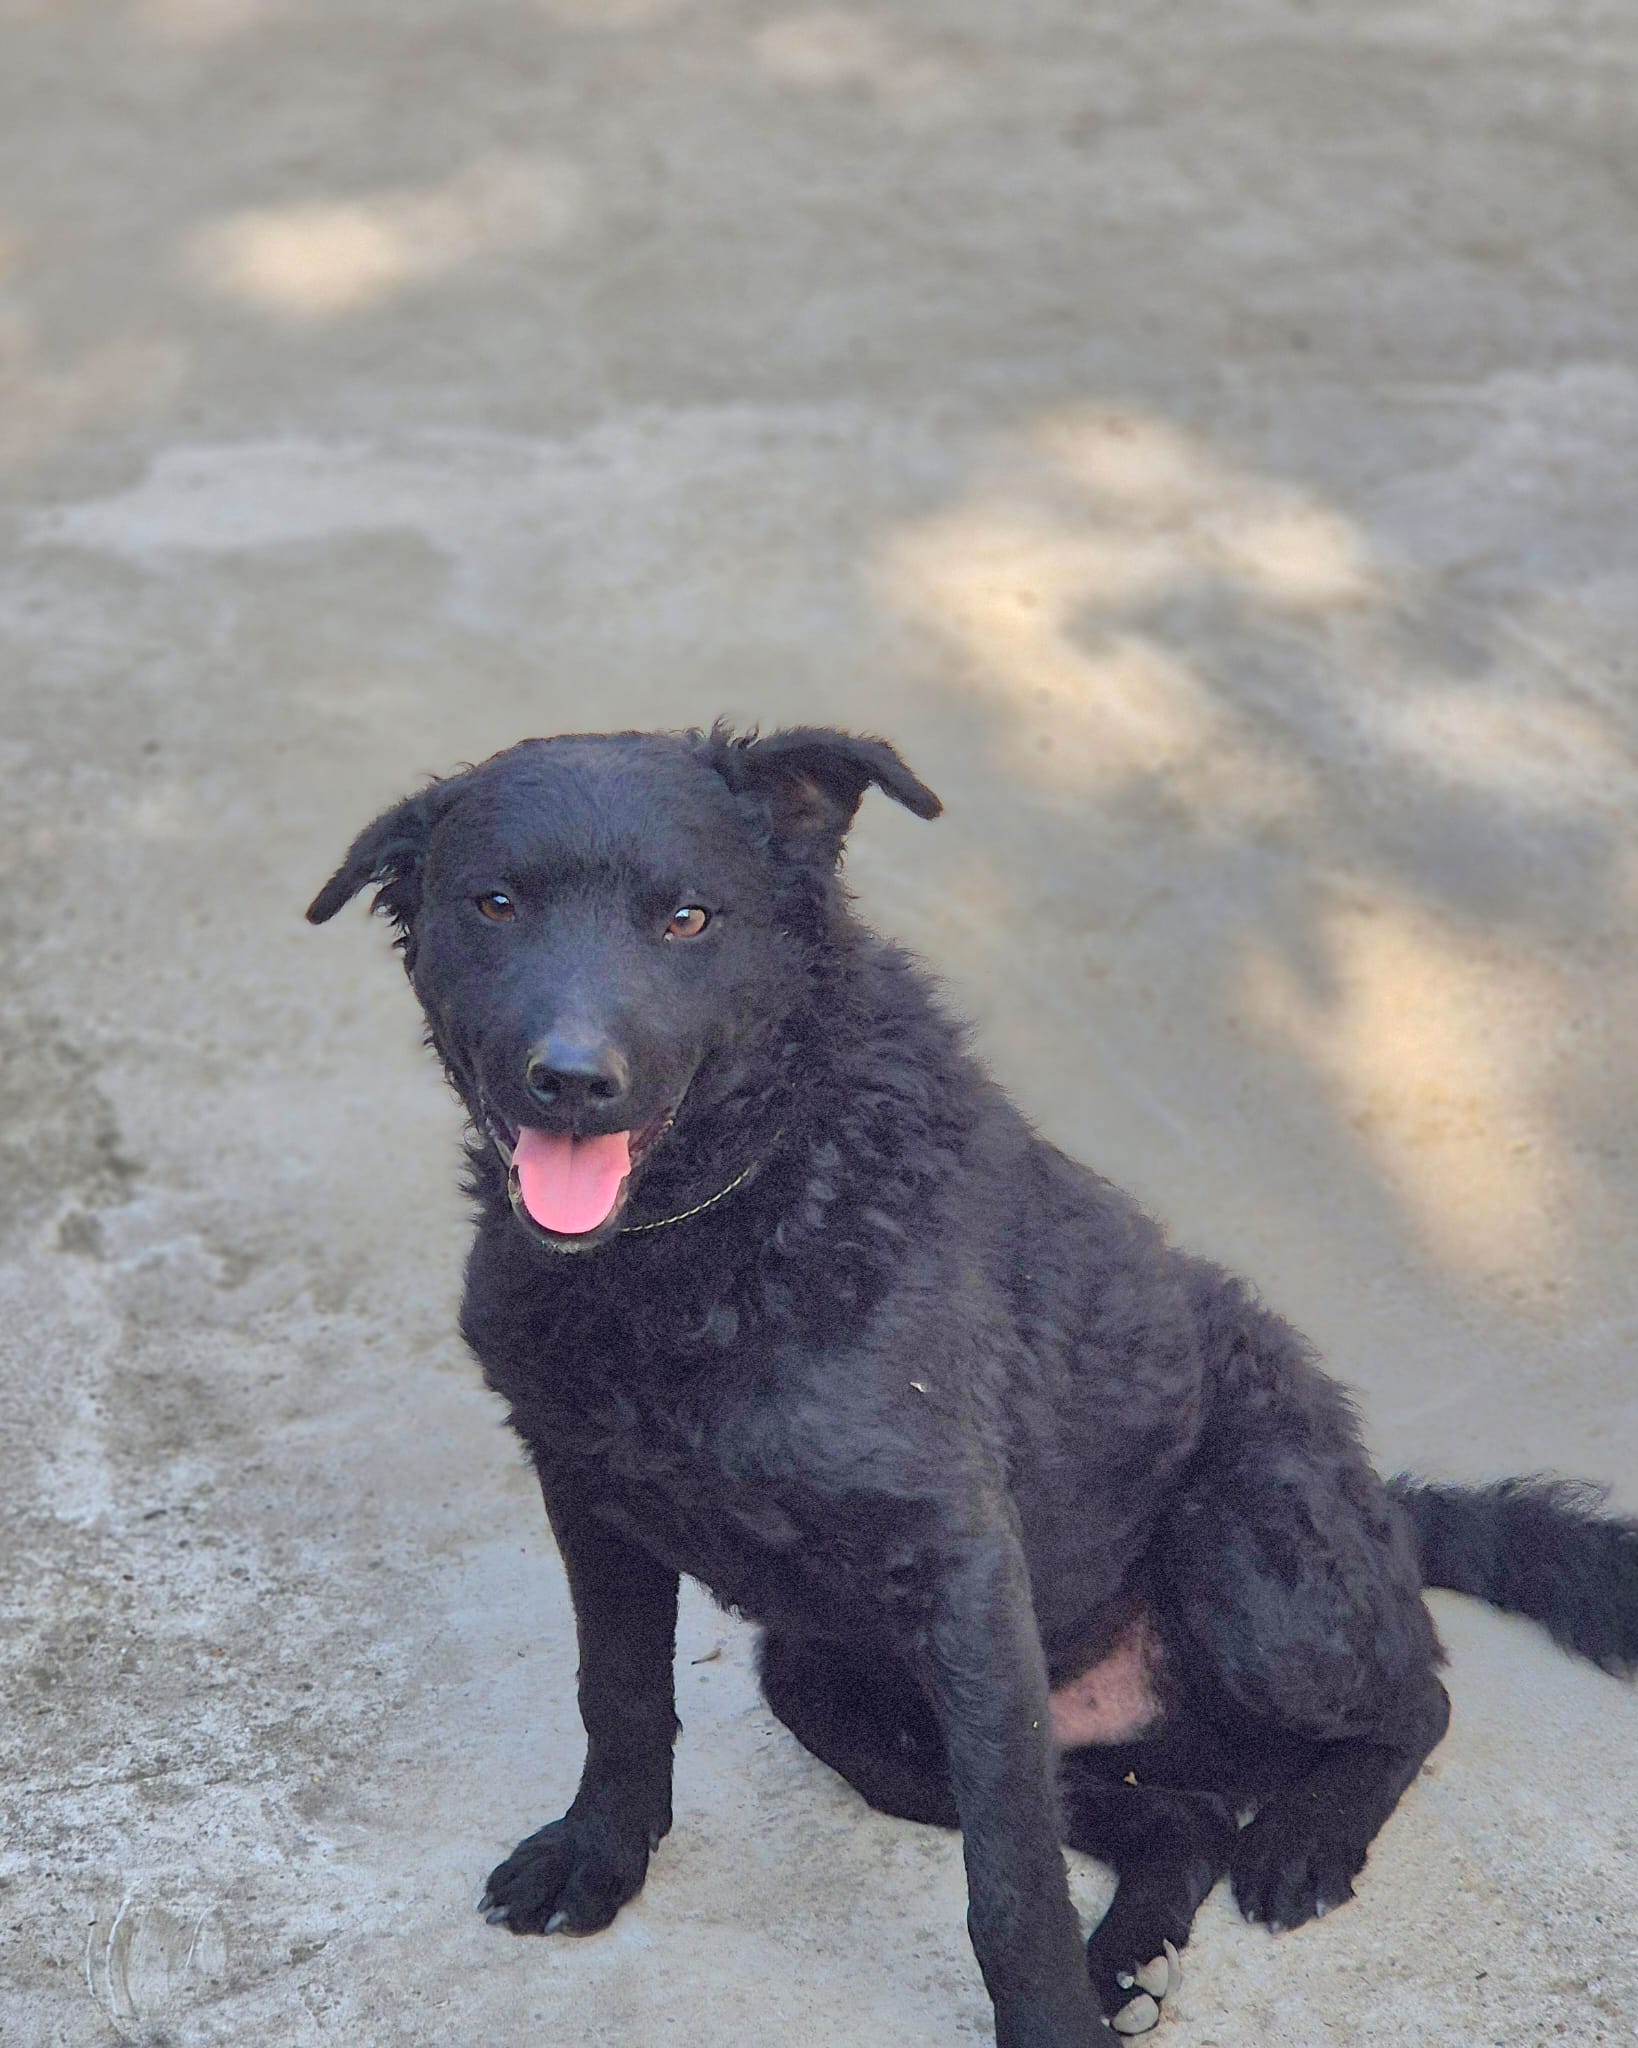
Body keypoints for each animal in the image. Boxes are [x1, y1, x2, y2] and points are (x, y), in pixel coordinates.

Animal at [309, 723, 1638, 2044]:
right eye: (494, 904)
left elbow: (1010, 1881)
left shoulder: (963, 1570)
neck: (730, 1214)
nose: (574, 1079)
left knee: (1417, 1697)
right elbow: (619, 1694)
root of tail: (1381, 1507)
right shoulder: (589, 1494)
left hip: (1250, 1568)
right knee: (1181, 1813)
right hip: (839, 1699)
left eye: (687, 917)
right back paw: (1136, 1952)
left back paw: (1306, 1836)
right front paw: (601, 1851)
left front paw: (1047, 2020)